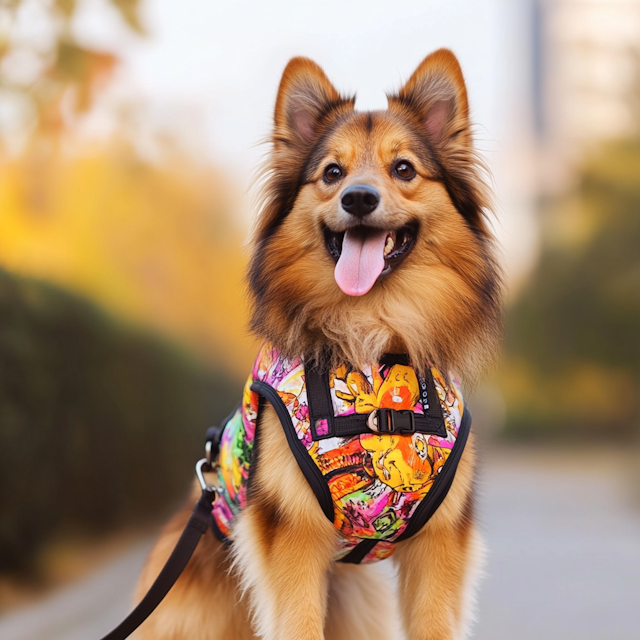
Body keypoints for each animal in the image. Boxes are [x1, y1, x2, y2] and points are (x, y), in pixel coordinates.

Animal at [138, 48, 502, 640]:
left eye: (404, 169)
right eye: (332, 173)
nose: (358, 197)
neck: (373, 345)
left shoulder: (439, 544)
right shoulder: (294, 537)